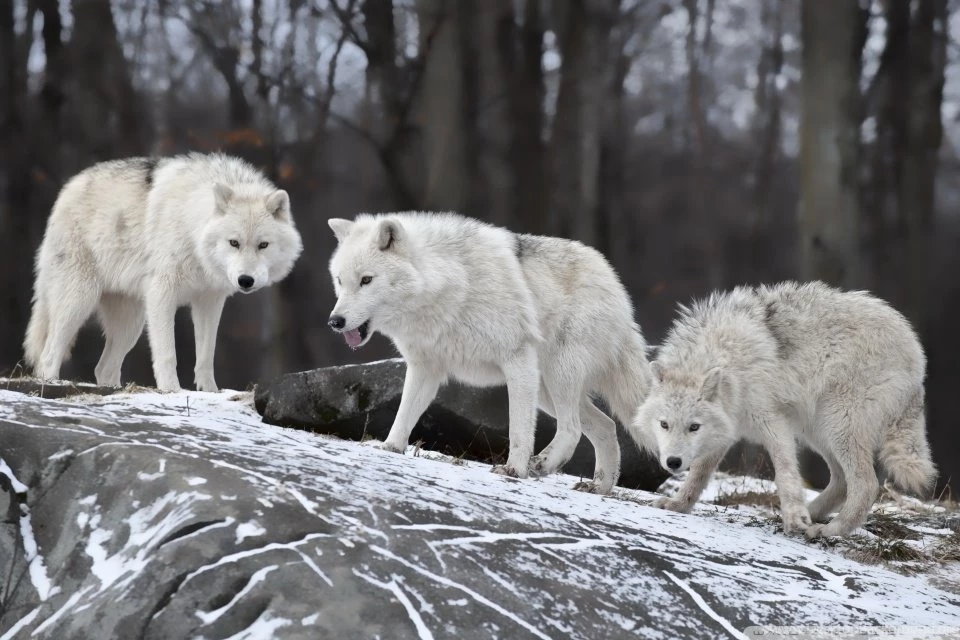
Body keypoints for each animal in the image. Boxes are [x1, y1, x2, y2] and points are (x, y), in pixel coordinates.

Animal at [24, 153, 303, 392]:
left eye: (263, 245)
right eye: (234, 243)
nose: (245, 280)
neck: (191, 226)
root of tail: (68, 187)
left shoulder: (209, 301)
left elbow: (206, 355)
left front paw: (210, 391)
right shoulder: (162, 293)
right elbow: (168, 353)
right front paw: (171, 390)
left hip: (131, 324)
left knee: (103, 368)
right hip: (79, 302)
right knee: (48, 355)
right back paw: (51, 383)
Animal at [326, 212, 652, 493]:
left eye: (366, 280)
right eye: (340, 281)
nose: (335, 321)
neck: (448, 285)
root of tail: (615, 283)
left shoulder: (517, 359)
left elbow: (519, 428)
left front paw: (514, 470)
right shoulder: (425, 368)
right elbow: (404, 414)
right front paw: (390, 448)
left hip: (557, 376)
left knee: (571, 428)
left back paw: (543, 465)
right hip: (546, 389)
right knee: (606, 425)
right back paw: (600, 487)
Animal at [632, 281, 936, 538]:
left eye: (693, 427)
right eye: (664, 424)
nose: (673, 462)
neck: (728, 359)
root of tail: (917, 353)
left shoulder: (773, 421)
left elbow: (785, 473)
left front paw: (795, 517)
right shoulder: (726, 429)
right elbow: (698, 475)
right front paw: (678, 505)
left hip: (836, 425)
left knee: (866, 485)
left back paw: (829, 530)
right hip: (818, 430)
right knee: (841, 482)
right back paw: (810, 516)